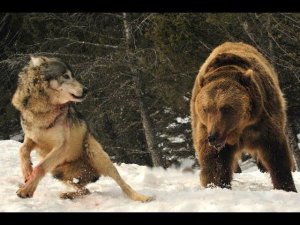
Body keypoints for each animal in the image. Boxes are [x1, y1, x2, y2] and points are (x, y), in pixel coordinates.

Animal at [191, 41, 296, 192]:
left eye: (226, 108)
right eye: (206, 109)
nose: (213, 136)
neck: (240, 127)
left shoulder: (264, 120)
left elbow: (276, 153)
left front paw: (286, 187)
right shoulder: (205, 128)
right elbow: (215, 161)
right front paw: (216, 185)